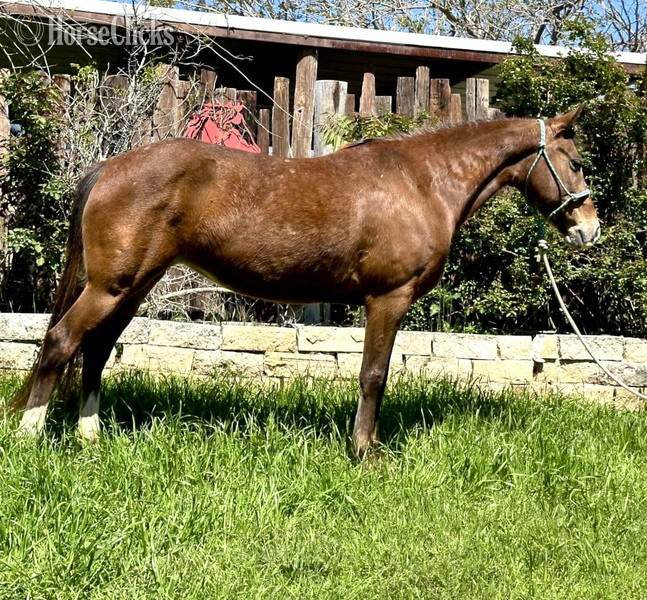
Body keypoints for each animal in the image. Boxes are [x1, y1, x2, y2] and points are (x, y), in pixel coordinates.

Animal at [9, 107, 600, 457]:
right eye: (574, 162)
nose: (590, 229)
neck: (423, 182)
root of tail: (109, 168)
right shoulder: (387, 299)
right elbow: (373, 375)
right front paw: (365, 453)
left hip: (131, 287)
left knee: (94, 350)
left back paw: (90, 437)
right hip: (112, 286)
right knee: (61, 341)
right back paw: (29, 436)